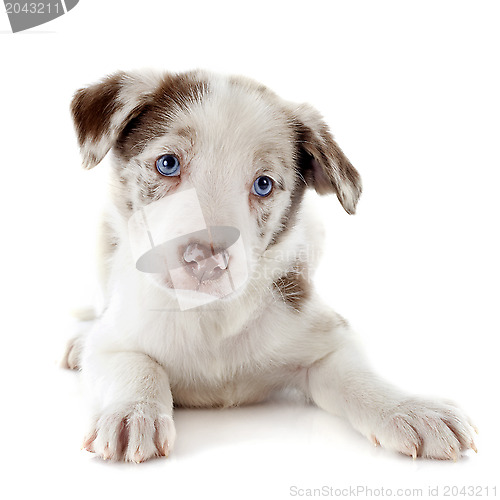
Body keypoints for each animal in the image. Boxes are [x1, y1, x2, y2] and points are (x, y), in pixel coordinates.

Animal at [62, 69, 476, 460]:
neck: (211, 316)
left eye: (263, 185)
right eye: (167, 164)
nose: (205, 261)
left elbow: (358, 375)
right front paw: (133, 413)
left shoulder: (326, 336)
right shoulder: (114, 342)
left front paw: (409, 408)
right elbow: (136, 365)